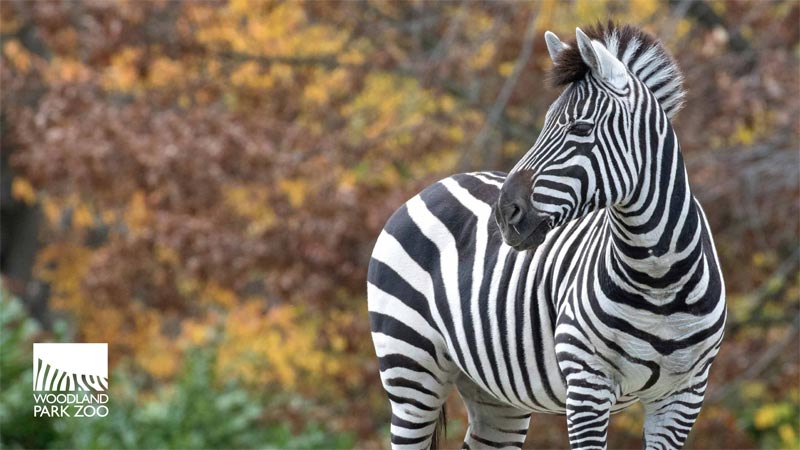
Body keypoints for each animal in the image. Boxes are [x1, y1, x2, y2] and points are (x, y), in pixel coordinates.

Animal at [367, 22, 725, 449]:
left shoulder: (684, 394)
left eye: (581, 128)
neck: (661, 277)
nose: (504, 215)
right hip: (410, 371)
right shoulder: (587, 384)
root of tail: (435, 185)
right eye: (544, 124)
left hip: (494, 394)